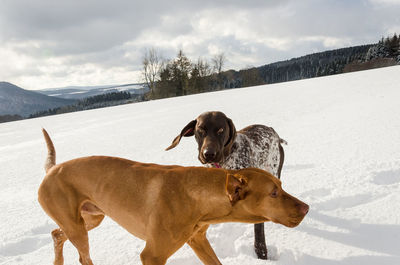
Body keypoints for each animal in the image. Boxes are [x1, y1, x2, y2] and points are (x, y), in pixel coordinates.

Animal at [38, 129, 306, 262]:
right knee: (83, 256)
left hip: (91, 218)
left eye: (281, 185)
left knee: (56, 234)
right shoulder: (152, 255)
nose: (306, 208)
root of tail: (52, 169)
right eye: (273, 193)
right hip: (78, 227)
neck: (195, 194)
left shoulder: (198, 240)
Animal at [166, 110, 288, 258]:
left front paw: (261, 253)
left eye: (221, 130)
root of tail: (272, 130)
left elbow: (259, 228)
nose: (208, 154)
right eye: (200, 130)